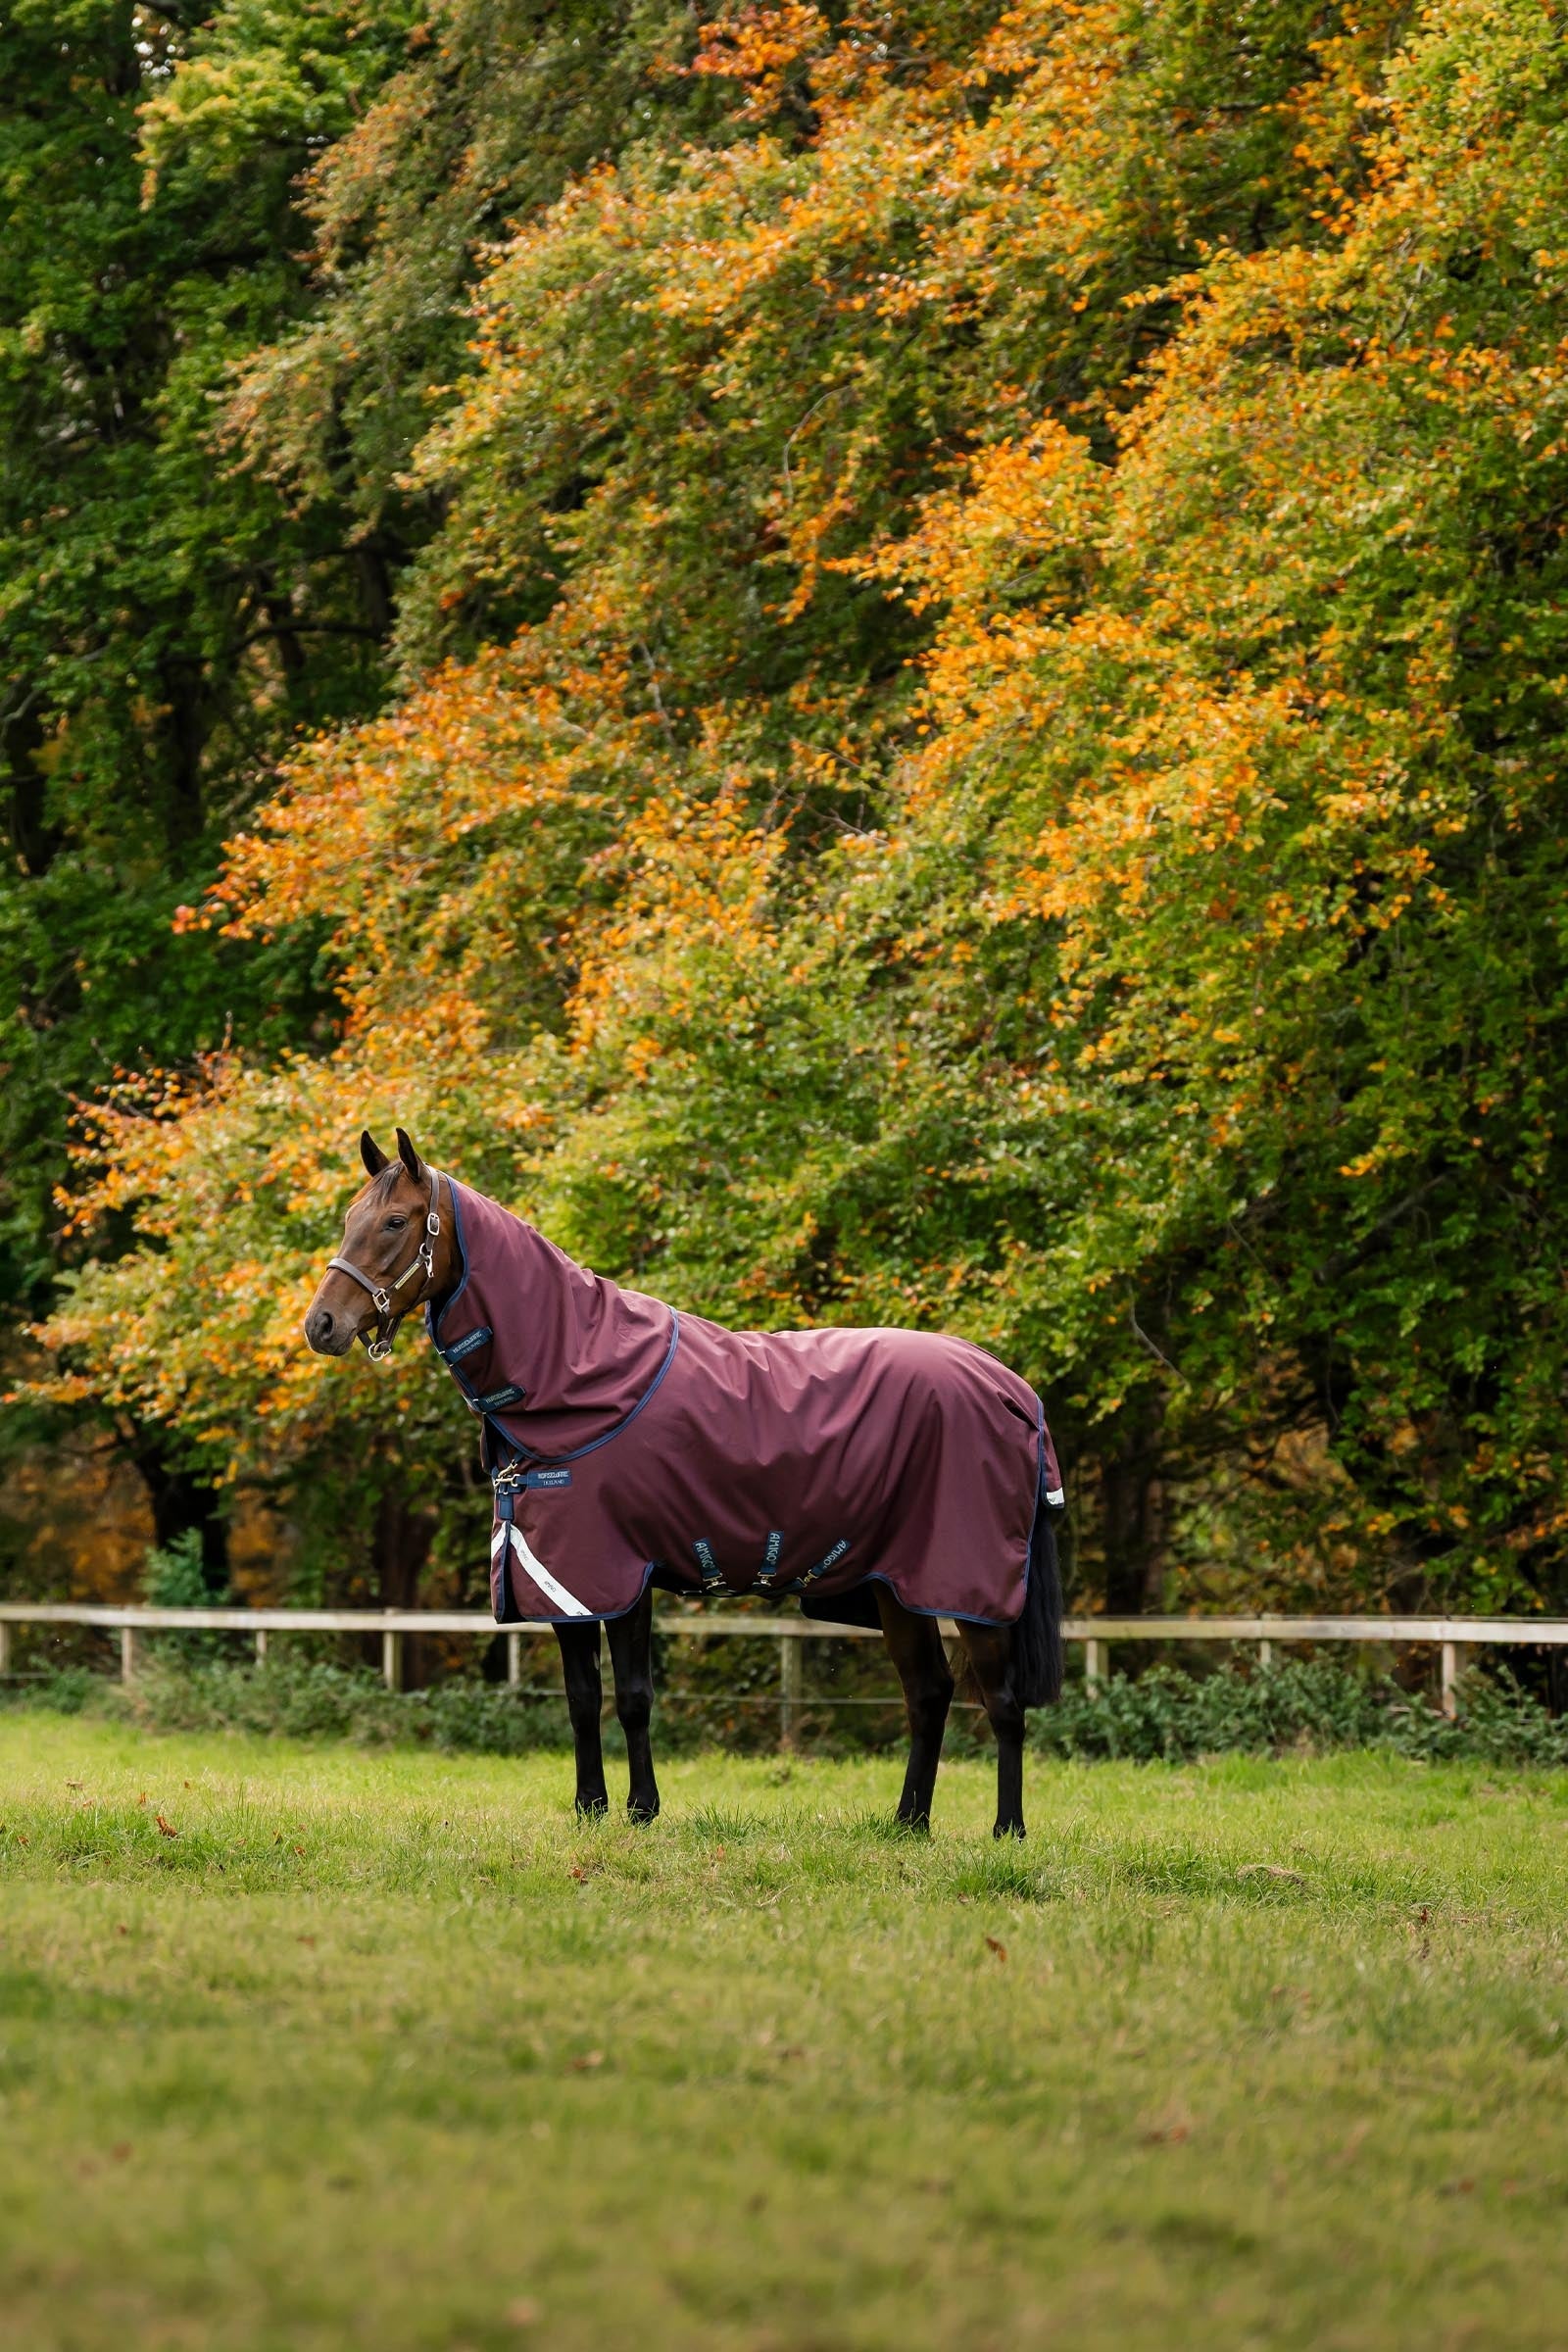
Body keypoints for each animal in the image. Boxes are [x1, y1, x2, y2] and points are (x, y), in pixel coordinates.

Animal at [304, 1128, 1064, 1836]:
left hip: (969, 1587)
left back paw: (1008, 1830)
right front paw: (589, 1808)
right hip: (897, 1588)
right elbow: (582, 1697)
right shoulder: (560, 1578)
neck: (577, 1371)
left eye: (394, 1222)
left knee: (1001, 1702)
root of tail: (1012, 1388)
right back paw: (908, 1824)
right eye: (348, 1217)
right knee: (928, 1692)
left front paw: (641, 1809)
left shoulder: (618, 1572)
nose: (322, 1325)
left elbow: (634, 1696)